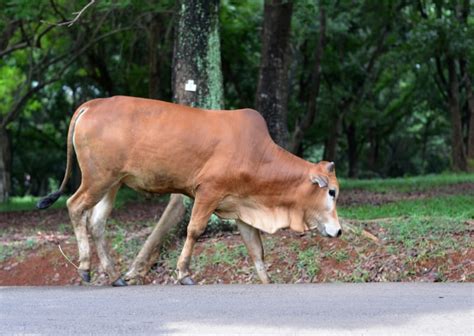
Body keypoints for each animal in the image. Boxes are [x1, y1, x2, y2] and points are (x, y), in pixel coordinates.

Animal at [37, 95, 340, 286]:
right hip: (97, 178)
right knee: (75, 206)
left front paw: (267, 281)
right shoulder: (208, 192)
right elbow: (194, 231)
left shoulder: (241, 207)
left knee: (97, 222)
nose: (338, 231)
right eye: (332, 192)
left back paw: (115, 276)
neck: (257, 155)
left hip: (113, 183)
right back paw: (85, 268)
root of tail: (93, 104)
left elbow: (256, 249)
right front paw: (183, 274)